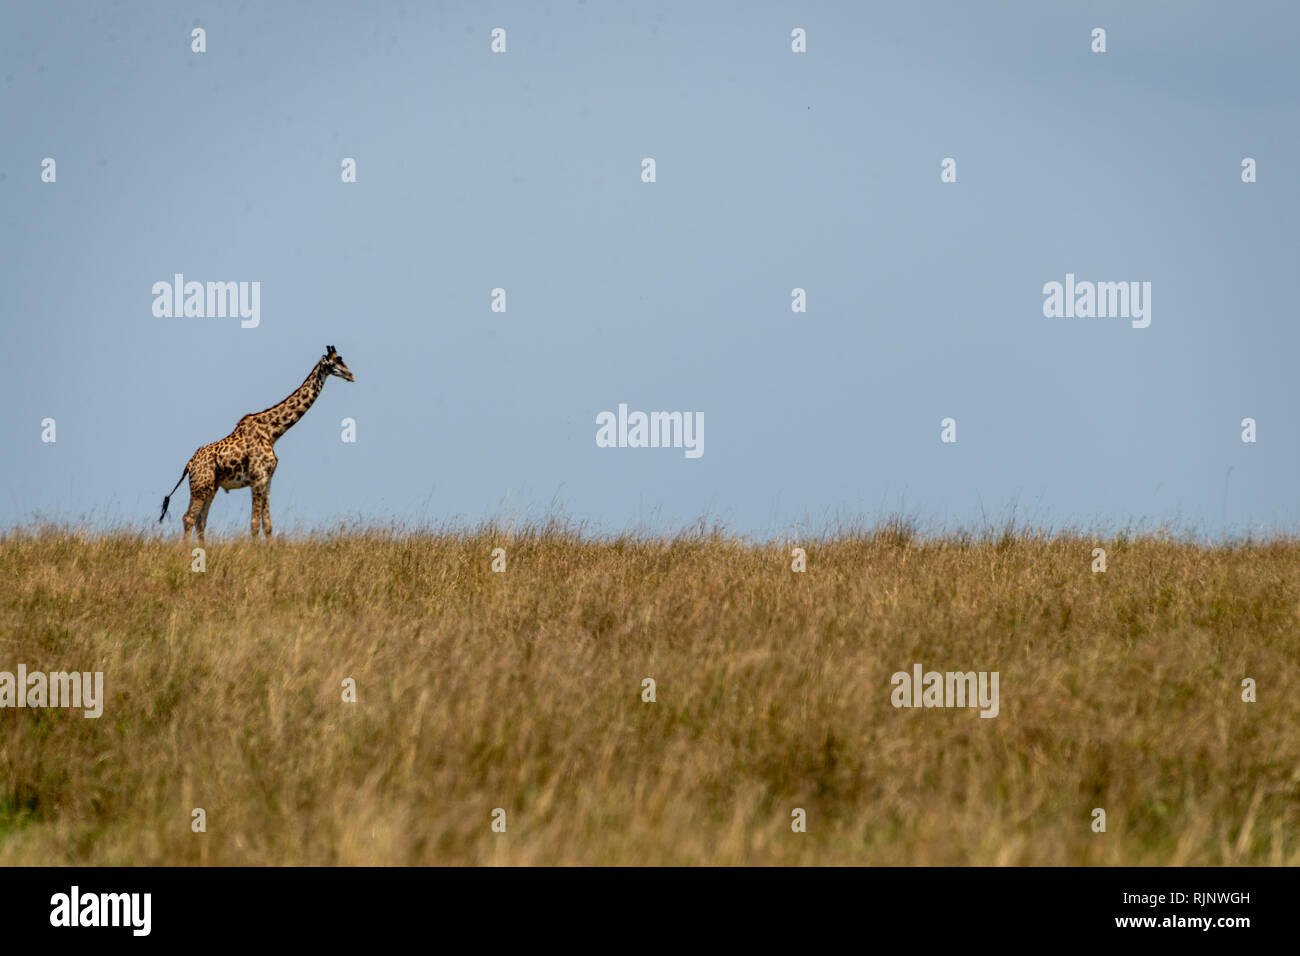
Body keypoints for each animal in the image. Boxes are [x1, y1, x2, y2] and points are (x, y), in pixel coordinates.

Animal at [159, 346, 355, 541]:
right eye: (334, 362)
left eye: (341, 359)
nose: (351, 375)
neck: (272, 432)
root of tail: (189, 464)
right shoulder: (257, 478)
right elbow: (254, 524)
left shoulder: (267, 480)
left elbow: (267, 524)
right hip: (200, 486)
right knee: (189, 518)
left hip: (211, 487)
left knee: (201, 520)